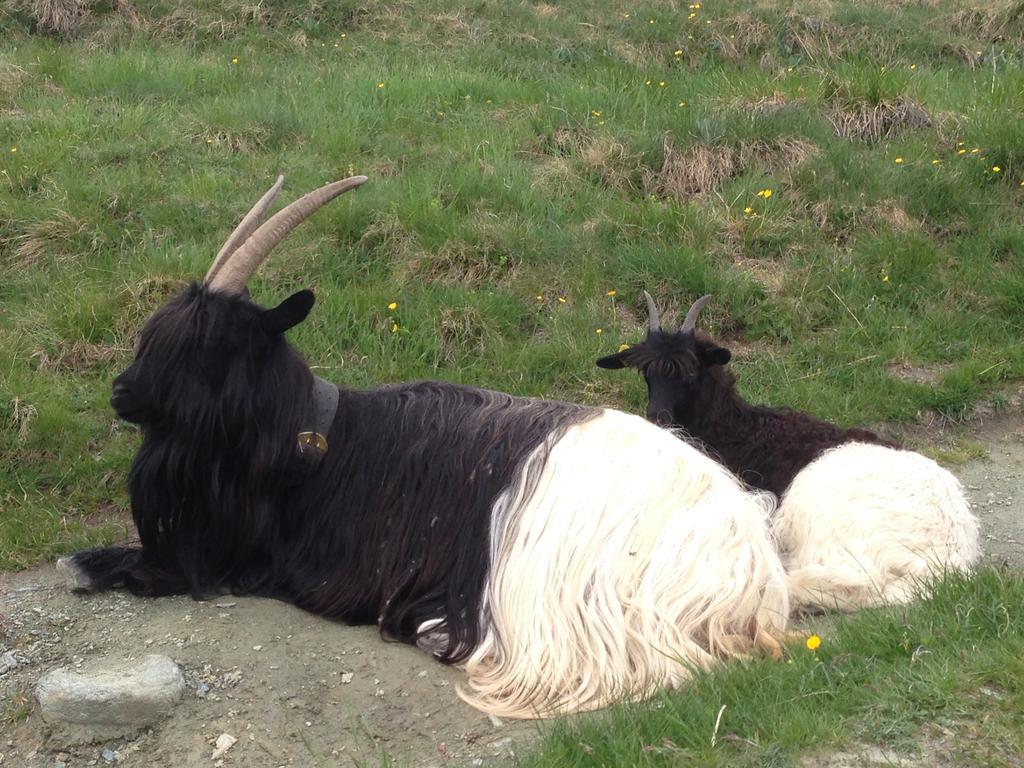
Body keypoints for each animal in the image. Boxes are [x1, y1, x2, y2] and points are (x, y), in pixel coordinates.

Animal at [59, 180, 786, 720]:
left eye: (209, 342)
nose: (121, 393)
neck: (326, 443)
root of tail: (752, 583)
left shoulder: (266, 563)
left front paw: (89, 563)